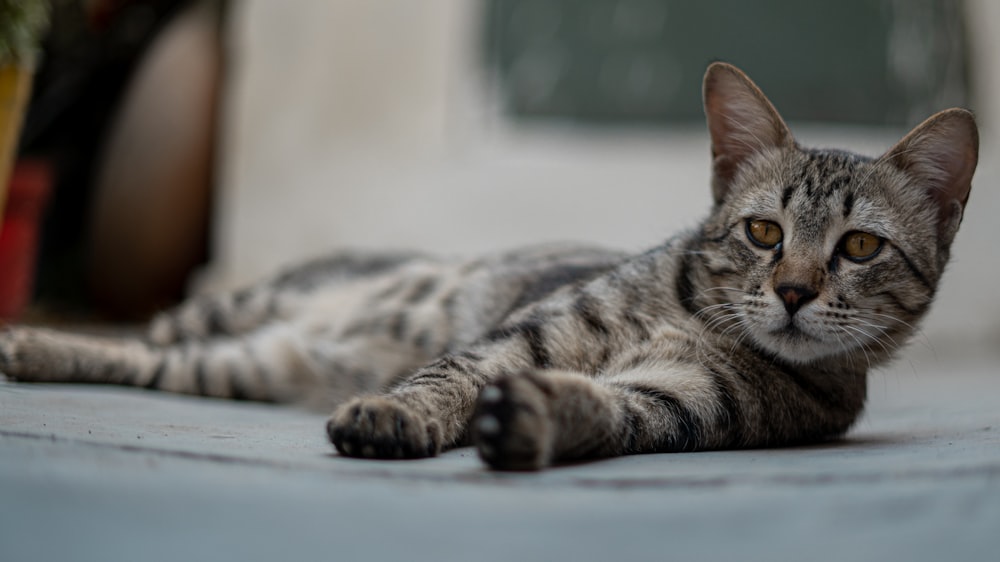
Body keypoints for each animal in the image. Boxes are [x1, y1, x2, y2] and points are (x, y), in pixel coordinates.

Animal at [0, 63, 976, 470]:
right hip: (231, 310)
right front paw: (399, 415)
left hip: (236, 364)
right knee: (137, 333)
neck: (695, 321)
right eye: (765, 232)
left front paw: (540, 422)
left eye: (859, 247)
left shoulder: (686, 404)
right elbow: (449, 376)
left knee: (147, 360)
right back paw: (27, 341)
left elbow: (609, 414)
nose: (794, 291)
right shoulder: (530, 334)